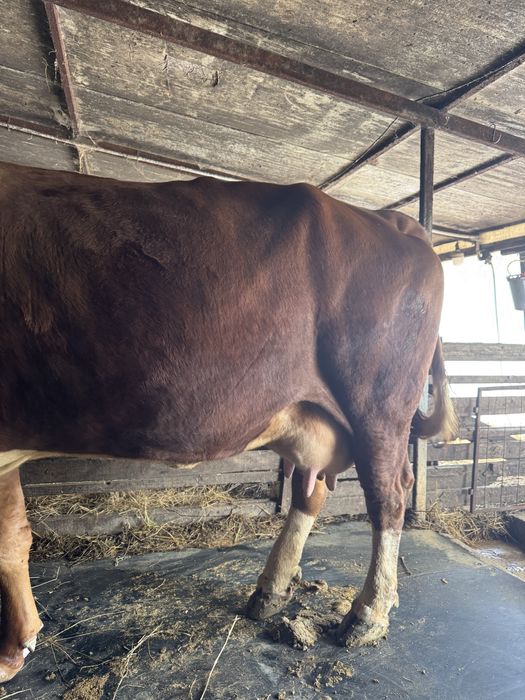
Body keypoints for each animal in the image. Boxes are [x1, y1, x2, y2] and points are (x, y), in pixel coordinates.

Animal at [0, 161, 456, 681]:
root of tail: (394, 219)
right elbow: (13, 537)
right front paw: (18, 645)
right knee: (312, 492)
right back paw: (271, 589)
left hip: (378, 405)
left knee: (389, 495)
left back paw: (368, 613)